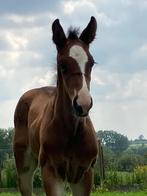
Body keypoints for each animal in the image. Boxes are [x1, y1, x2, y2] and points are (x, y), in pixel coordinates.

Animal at [13, 16, 98, 195]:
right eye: (63, 65)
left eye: (92, 63)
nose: (83, 104)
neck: (72, 132)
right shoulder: (51, 172)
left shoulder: (85, 173)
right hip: (24, 166)